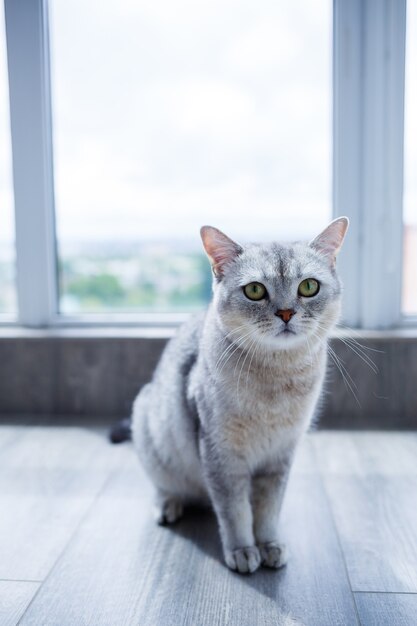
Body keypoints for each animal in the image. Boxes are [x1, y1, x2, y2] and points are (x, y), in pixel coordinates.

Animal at [130, 217, 348, 572]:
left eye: (308, 287)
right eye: (255, 291)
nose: (286, 313)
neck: (276, 378)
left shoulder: (280, 456)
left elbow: (268, 509)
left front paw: (269, 543)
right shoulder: (222, 455)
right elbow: (235, 511)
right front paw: (243, 549)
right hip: (151, 431)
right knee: (165, 484)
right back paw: (168, 504)